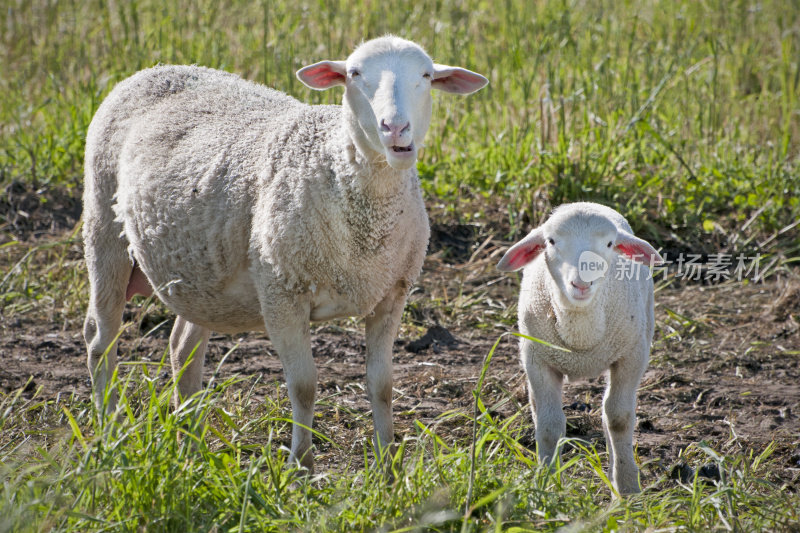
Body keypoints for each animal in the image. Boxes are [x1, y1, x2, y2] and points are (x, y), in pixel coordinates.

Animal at [84, 36, 490, 470]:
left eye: (427, 76)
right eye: (354, 74)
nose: (395, 128)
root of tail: (158, 68)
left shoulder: (390, 295)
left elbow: (382, 385)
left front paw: (387, 465)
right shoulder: (281, 292)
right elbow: (304, 386)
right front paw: (301, 466)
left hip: (200, 277)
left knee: (182, 348)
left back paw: (191, 446)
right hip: (103, 231)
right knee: (100, 341)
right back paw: (109, 434)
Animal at [494, 202, 664, 492]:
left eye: (609, 244)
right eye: (551, 241)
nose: (582, 283)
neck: (581, 338)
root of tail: (583, 201)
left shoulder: (632, 357)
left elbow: (619, 419)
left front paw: (627, 488)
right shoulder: (537, 360)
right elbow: (549, 425)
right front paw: (548, 483)